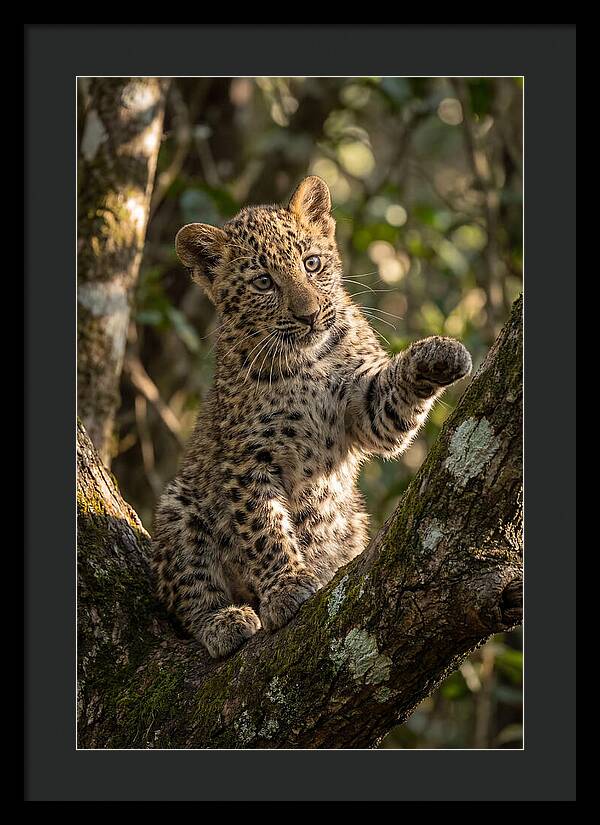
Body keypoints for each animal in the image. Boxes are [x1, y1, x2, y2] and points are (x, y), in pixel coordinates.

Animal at [152, 175, 472, 659]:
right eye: (263, 282)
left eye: (312, 263)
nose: (309, 315)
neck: (307, 362)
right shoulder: (248, 460)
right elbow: (263, 528)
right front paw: (286, 587)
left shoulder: (364, 409)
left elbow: (390, 401)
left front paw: (439, 353)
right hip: (180, 506)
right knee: (188, 593)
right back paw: (224, 621)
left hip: (352, 521)